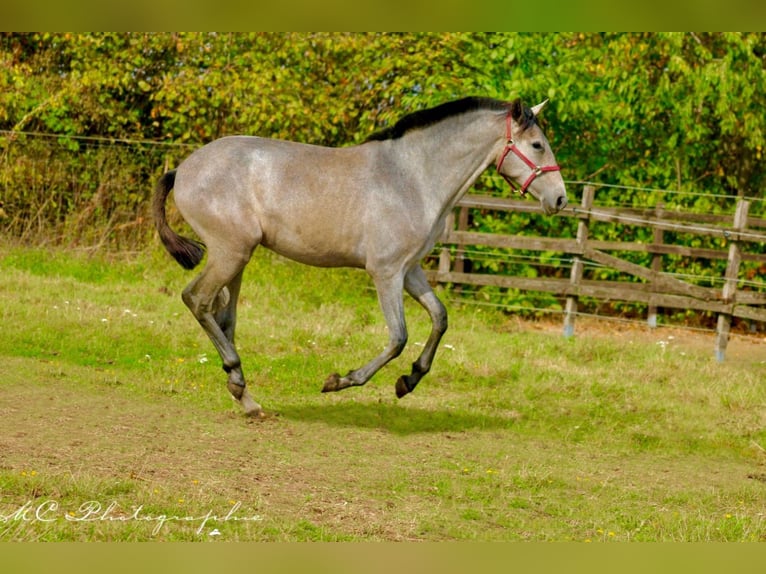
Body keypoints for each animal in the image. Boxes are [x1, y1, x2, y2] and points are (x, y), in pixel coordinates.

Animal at [153, 94, 568, 418]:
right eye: (537, 145)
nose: (560, 199)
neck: (413, 178)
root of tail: (183, 169)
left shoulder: (410, 271)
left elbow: (440, 318)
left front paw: (408, 381)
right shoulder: (385, 272)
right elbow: (398, 337)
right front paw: (340, 380)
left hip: (238, 259)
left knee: (223, 317)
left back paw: (247, 399)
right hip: (230, 253)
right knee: (197, 300)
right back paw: (239, 380)